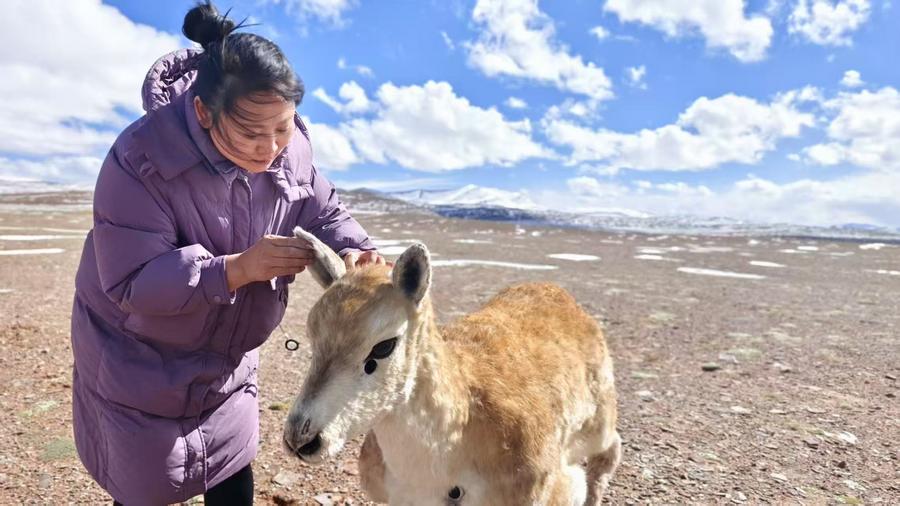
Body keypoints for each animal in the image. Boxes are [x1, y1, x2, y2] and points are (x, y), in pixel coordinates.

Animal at [283, 226, 621, 505]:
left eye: (383, 345)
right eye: (312, 333)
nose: (301, 439)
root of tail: (559, 293)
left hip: (599, 422)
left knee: (609, 451)